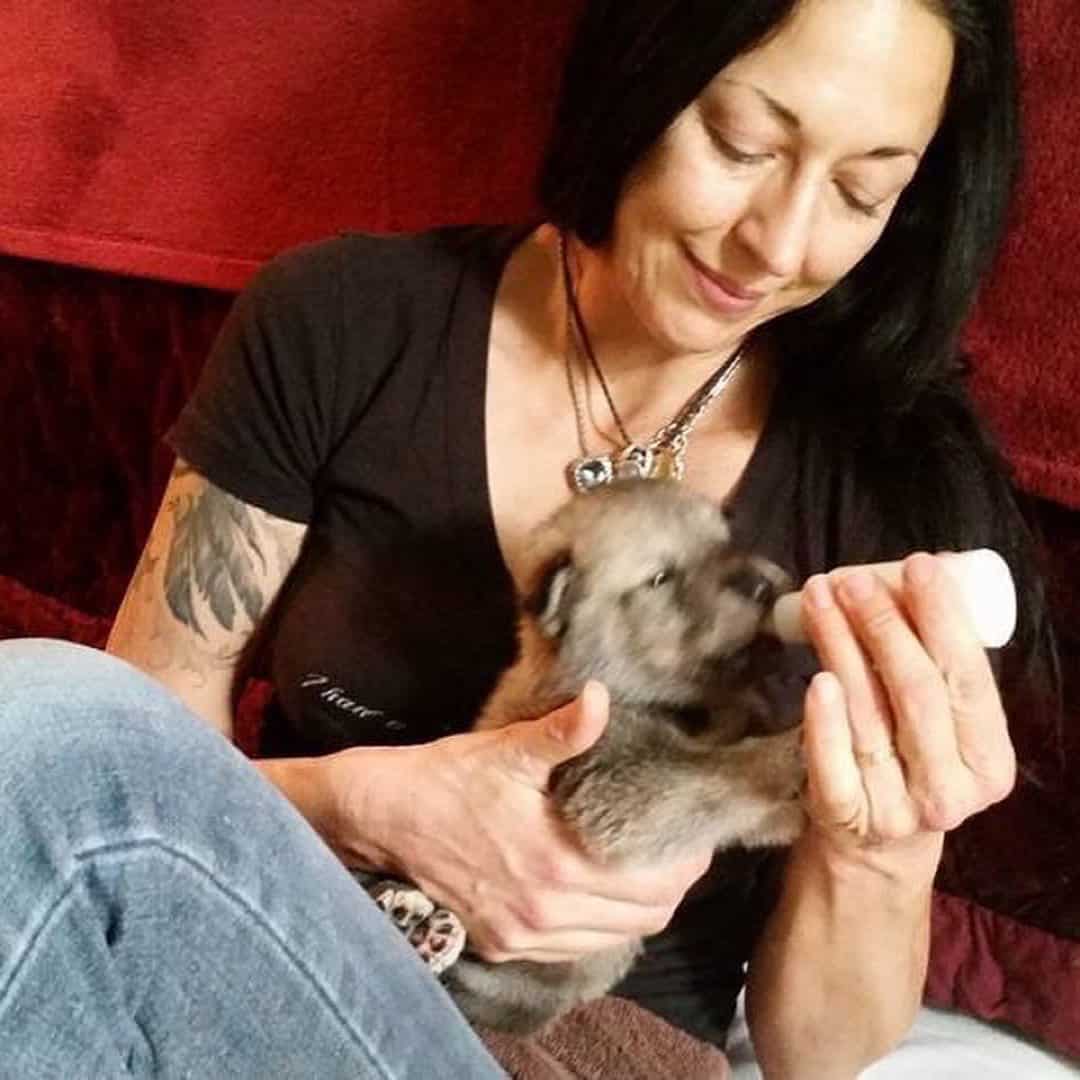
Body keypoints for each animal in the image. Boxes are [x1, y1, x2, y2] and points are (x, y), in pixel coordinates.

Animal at [425, 483, 807, 1036]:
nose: (760, 583)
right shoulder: (614, 774)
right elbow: (722, 769)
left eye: (725, 542)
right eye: (660, 578)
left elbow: (738, 799)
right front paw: (800, 741)